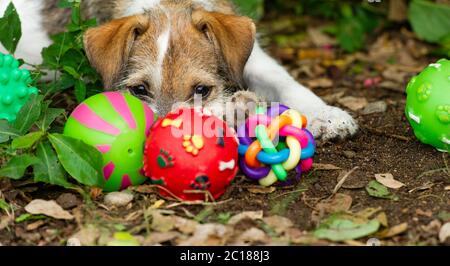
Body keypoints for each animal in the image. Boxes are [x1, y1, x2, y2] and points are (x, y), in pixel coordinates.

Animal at [0, 0, 358, 140]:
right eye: (139, 90)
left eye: (201, 89)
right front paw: (235, 108)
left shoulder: (254, 57)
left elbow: (284, 79)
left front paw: (327, 114)